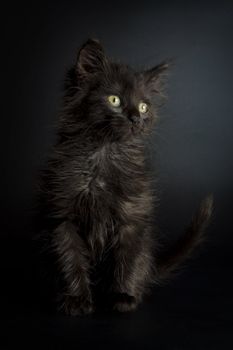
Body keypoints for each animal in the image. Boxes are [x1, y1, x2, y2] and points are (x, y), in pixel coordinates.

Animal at [36, 38, 213, 314]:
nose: (136, 118)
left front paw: (122, 296)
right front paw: (77, 299)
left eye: (143, 106)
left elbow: (127, 260)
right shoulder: (62, 216)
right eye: (114, 100)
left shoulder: (132, 216)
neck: (103, 154)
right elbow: (70, 259)